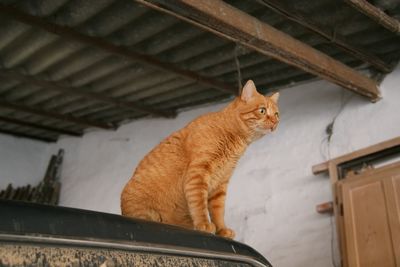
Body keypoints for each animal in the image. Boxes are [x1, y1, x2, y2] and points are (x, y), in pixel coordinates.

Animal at [120, 80, 280, 240]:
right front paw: (204, 224)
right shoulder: (197, 174)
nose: (274, 122)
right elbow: (199, 205)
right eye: (262, 111)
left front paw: (222, 230)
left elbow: (218, 211)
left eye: (276, 114)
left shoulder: (220, 185)